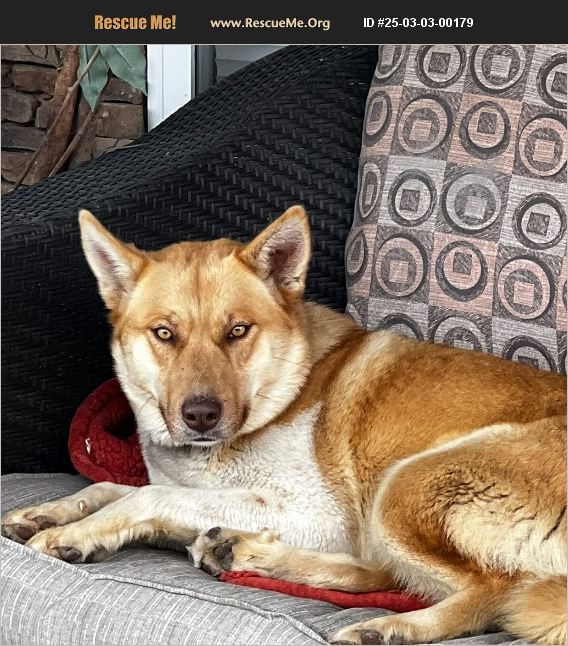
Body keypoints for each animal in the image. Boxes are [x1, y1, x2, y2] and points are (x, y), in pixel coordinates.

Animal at [2, 206, 566, 645]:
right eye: (164, 334)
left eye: (237, 331)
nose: (200, 415)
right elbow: (113, 488)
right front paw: (48, 514)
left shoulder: (319, 514)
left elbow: (144, 496)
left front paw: (70, 533)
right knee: (386, 571)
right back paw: (242, 552)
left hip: (404, 487)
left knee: (491, 592)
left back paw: (387, 628)